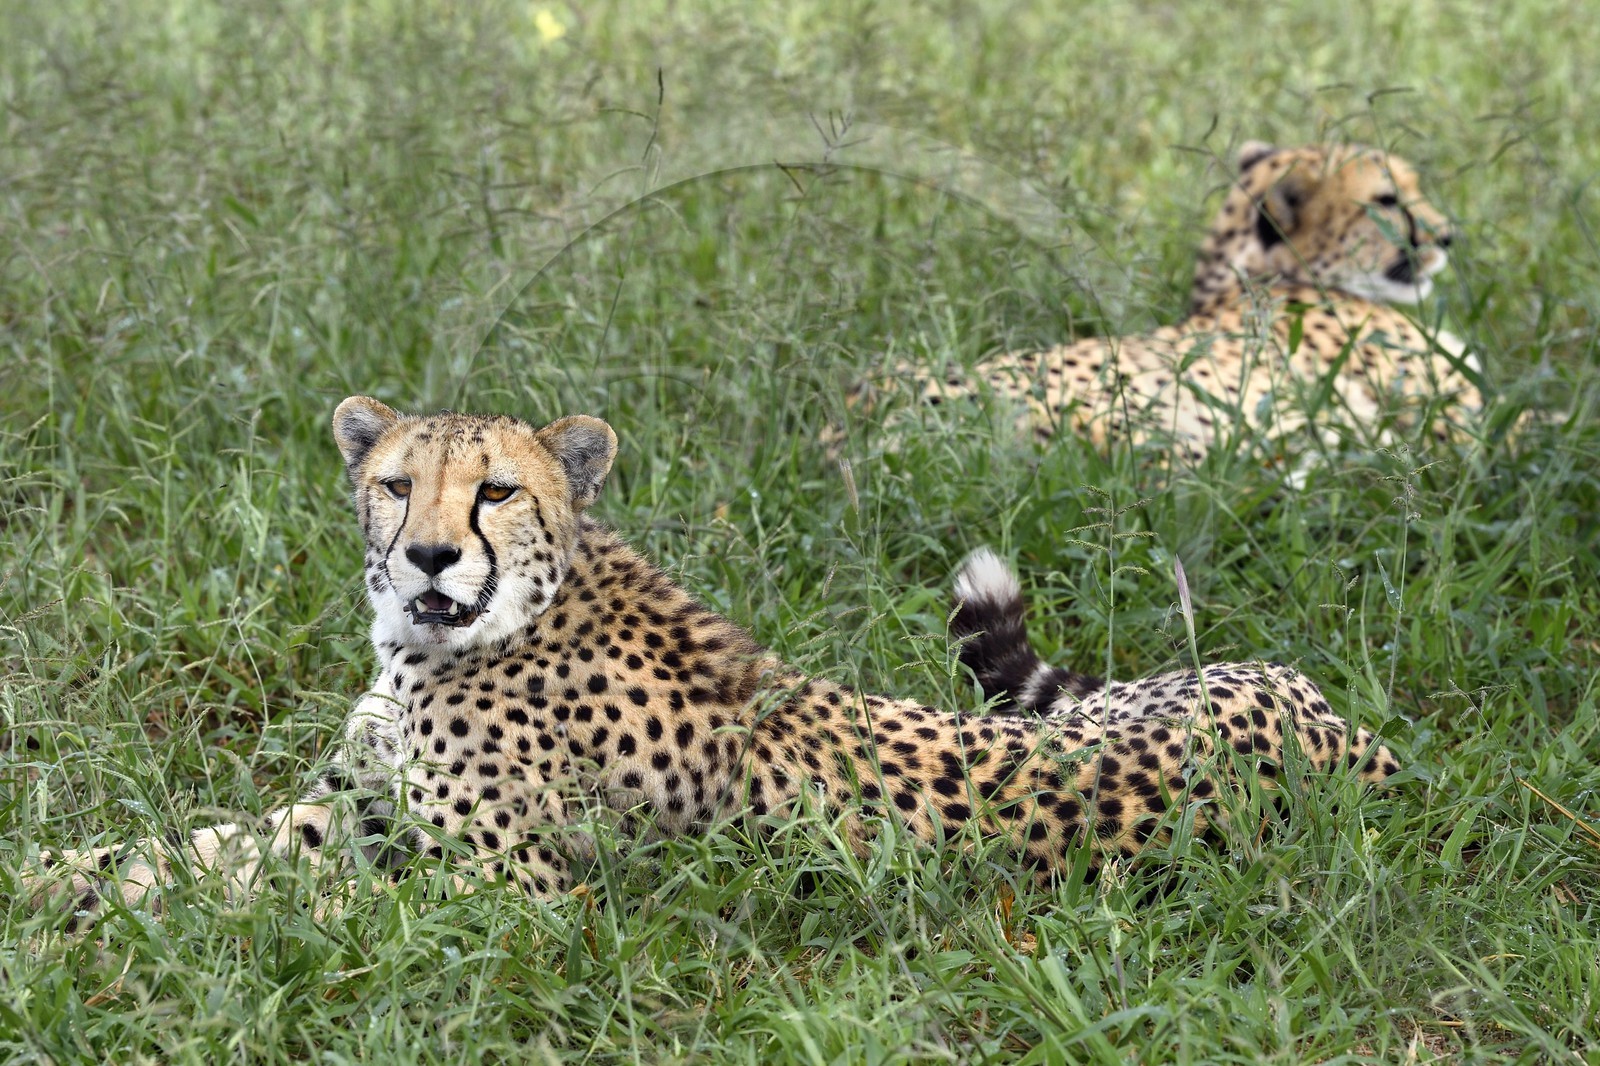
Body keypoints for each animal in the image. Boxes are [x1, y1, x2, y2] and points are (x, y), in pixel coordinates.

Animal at [22, 398, 1400, 926]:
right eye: (399, 483)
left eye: (497, 490)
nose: (426, 558)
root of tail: (1330, 721)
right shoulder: (352, 808)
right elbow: (179, 851)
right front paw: (48, 886)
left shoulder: (512, 887)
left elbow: (290, 904)